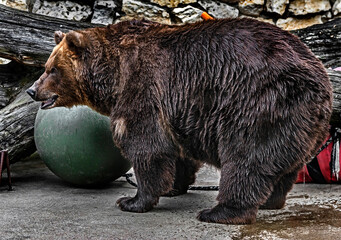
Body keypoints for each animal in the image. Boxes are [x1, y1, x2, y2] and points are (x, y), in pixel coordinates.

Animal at [27, 17, 332, 224]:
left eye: (52, 70)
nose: (32, 90)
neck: (112, 75)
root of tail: (320, 81)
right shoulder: (180, 109)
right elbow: (177, 151)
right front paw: (175, 186)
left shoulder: (143, 85)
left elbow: (147, 146)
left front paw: (131, 200)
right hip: (298, 125)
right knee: (281, 165)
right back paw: (270, 200)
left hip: (258, 103)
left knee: (245, 160)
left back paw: (218, 211)